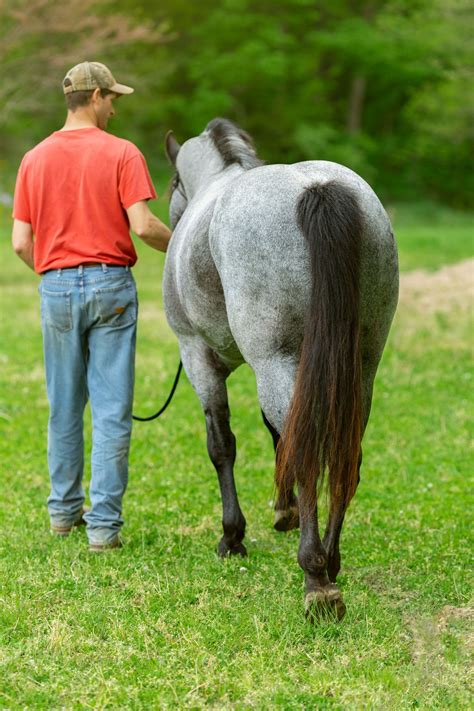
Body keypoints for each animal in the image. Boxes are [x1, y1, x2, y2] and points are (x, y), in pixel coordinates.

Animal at [163, 119, 400, 620]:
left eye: (173, 183)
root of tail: (315, 188)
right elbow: (276, 433)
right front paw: (284, 511)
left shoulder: (199, 358)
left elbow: (222, 446)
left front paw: (233, 536)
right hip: (359, 366)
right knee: (343, 455)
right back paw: (330, 560)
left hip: (276, 361)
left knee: (309, 452)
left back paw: (317, 580)